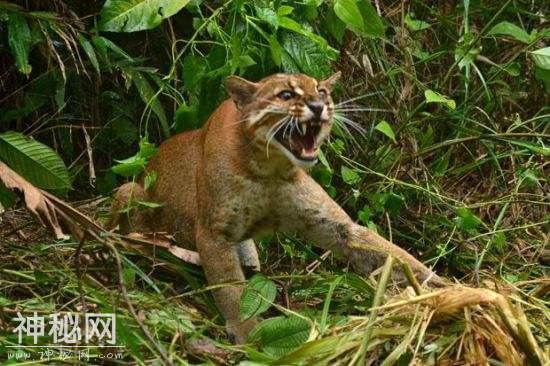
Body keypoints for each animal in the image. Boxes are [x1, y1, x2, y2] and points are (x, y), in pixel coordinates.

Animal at [111, 71, 444, 344]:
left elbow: (391, 253)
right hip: (130, 192)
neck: (269, 170)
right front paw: (247, 335)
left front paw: (444, 289)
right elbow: (230, 288)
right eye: (286, 95)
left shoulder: (333, 225)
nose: (318, 106)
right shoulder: (213, 234)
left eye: (322, 91)